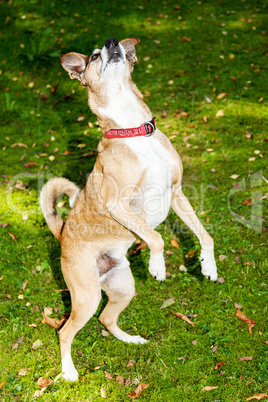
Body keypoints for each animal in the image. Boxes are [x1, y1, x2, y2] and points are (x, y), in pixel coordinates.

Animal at [41, 37, 218, 380]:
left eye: (114, 46)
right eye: (94, 56)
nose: (112, 43)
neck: (133, 130)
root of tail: (63, 233)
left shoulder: (177, 193)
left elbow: (205, 235)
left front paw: (208, 266)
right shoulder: (120, 204)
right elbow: (156, 238)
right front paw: (158, 266)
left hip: (122, 287)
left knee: (106, 319)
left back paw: (131, 340)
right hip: (87, 295)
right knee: (65, 331)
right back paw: (69, 371)